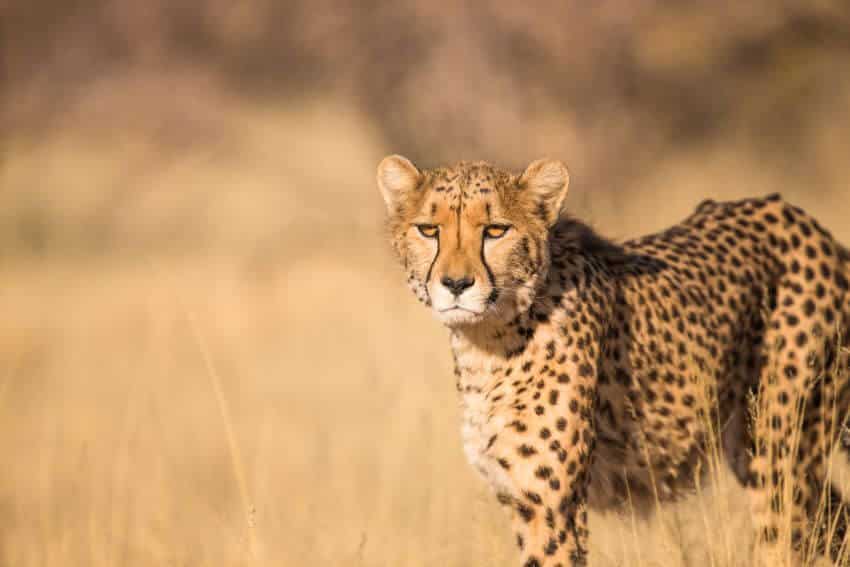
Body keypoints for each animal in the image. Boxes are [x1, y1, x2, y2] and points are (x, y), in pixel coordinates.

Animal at [374, 156, 848, 567]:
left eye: (495, 230)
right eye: (428, 229)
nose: (456, 284)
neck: (488, 341)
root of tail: (803, 220)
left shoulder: (552, 506)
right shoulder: (520, 497)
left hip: (780, 456)